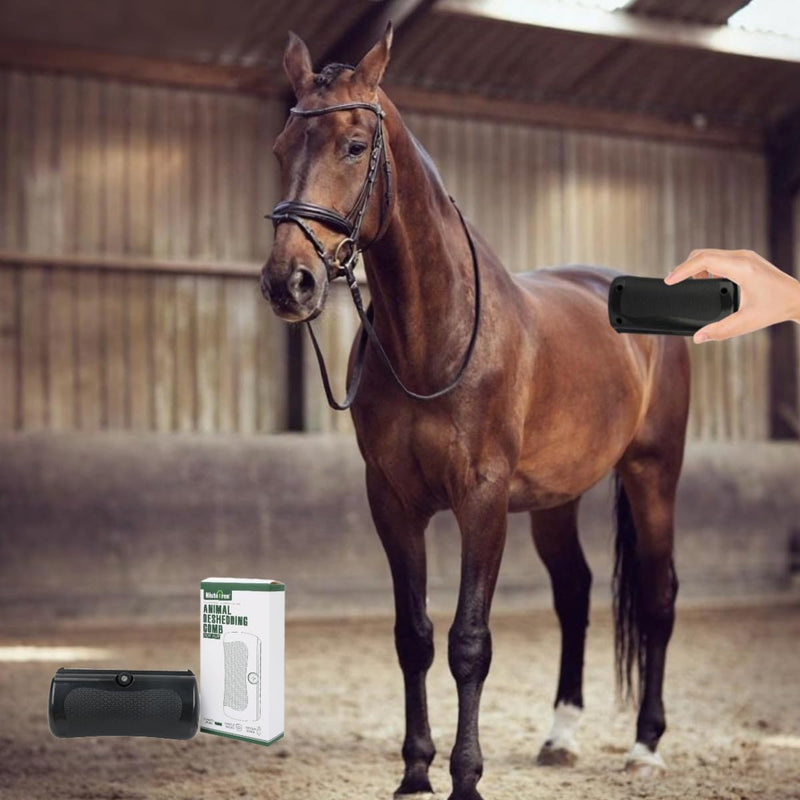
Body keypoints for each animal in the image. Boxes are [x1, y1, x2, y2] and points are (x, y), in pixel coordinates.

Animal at [261, 24, 690, 800]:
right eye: (282, 148)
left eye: (354, 146)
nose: (289, 282)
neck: (436, 332)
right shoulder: (393, 501)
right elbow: (414, 637)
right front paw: (414, 774)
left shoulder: (481, 499)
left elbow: (468, 642)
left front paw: (465, 778)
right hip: (555, 500)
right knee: (575, 594)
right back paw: (560, 736)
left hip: (653, 474)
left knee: (658, 595)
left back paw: (645, 746)